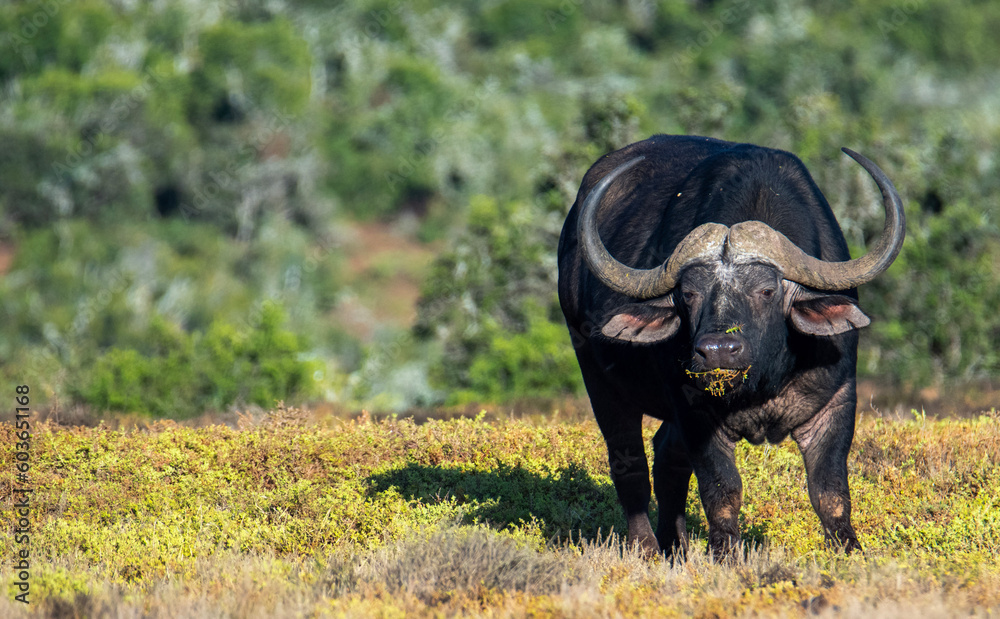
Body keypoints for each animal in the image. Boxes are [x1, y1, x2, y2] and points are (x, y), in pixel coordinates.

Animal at [557, 135, 905, 557]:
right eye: (688, 294)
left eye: (767, 290)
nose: (718, 351)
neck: (763, 382)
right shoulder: (694, 410)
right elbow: (722, 490)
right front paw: (725, 556)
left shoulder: (836, 403)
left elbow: (830, 492)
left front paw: (849, 551)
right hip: (599, 379)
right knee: (630, 464)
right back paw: (647, 549)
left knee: (667, 458)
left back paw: (677, 549)